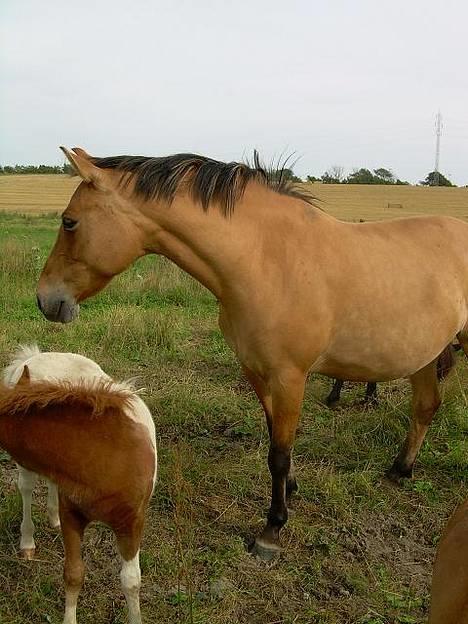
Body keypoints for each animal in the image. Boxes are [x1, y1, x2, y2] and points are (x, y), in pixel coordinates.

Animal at [0, 356, 157, 624]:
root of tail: (33, 356)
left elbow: (130, 581)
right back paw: (28, 543)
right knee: (27, 489)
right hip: (28, 469)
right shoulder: (73, 516)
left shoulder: (132, 523)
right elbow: (73, 574)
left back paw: (52, 518)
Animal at [37, 147, 468, 560]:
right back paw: (400, 469)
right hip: (424, 355)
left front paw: (271, 531)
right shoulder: (257, 372)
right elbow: (276, 439)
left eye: (69, 222)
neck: (266, 260)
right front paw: (290, 490)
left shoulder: (290, 377)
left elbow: (279, 453)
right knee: (426, 406)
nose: (45, 300)